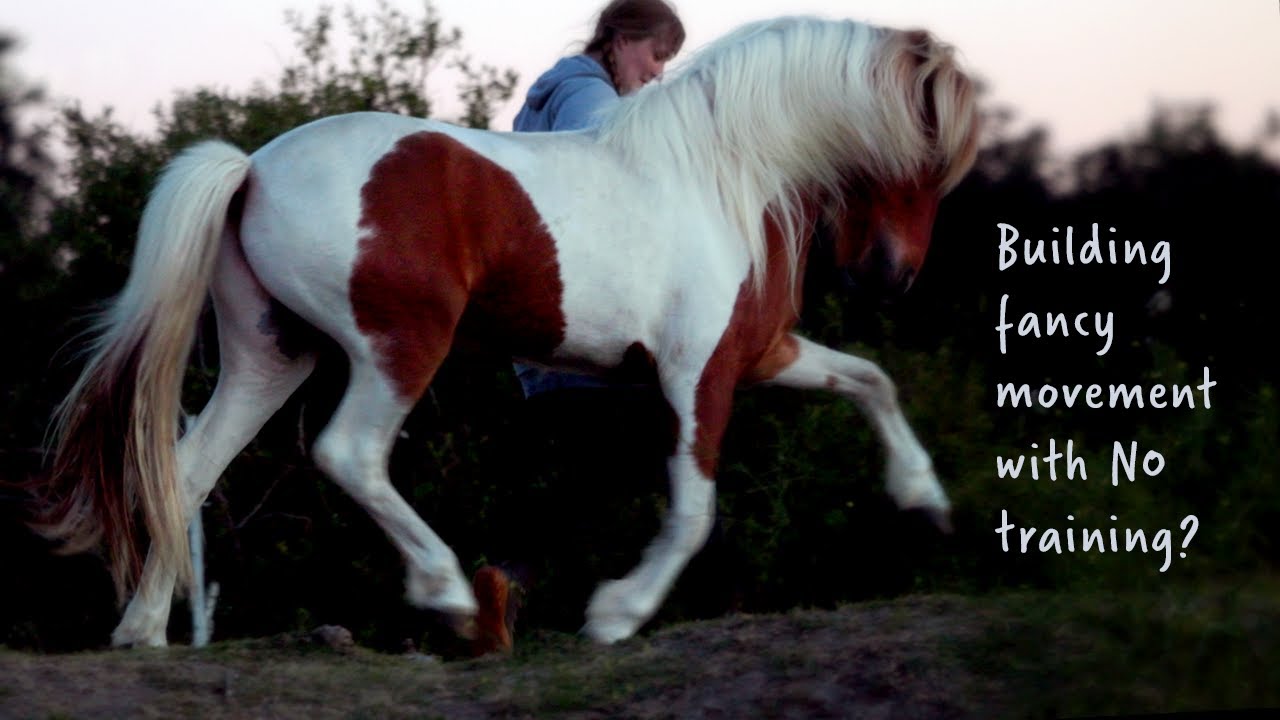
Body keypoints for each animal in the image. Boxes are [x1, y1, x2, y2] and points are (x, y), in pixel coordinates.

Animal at [36, 14, 979, 649]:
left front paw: (925, 501)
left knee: (188, 466)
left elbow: (870, 380)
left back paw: (143, 630)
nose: (893, 273)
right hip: (399, 347)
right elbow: (694, 510)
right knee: (349, 454)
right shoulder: (697, 373)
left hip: (271, 355)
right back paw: (451, 597)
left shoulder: (758, 353)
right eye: (930, 149)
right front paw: (617, 613)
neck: (724, 177)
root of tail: (253, 169)